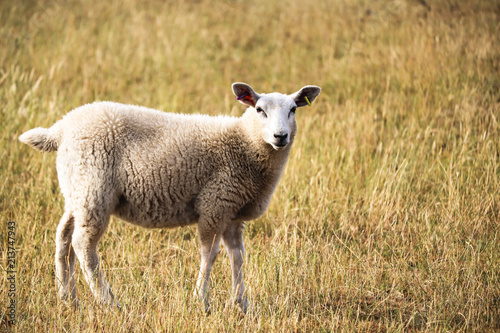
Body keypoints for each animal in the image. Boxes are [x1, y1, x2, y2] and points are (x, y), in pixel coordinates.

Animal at [18, 81, 320, 312]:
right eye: (259, 110)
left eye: (293, 109)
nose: (280, 136)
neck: (244, 145)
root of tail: (61, 128)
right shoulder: (215, 203)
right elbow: (210, 254)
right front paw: (201, 301)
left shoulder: (233, 212)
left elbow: (238, 255)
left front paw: (241, 303)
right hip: (94, 189)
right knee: (83, 245)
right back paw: (108, 302)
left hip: (77, 190)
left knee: (63, 237)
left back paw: (68, 298)